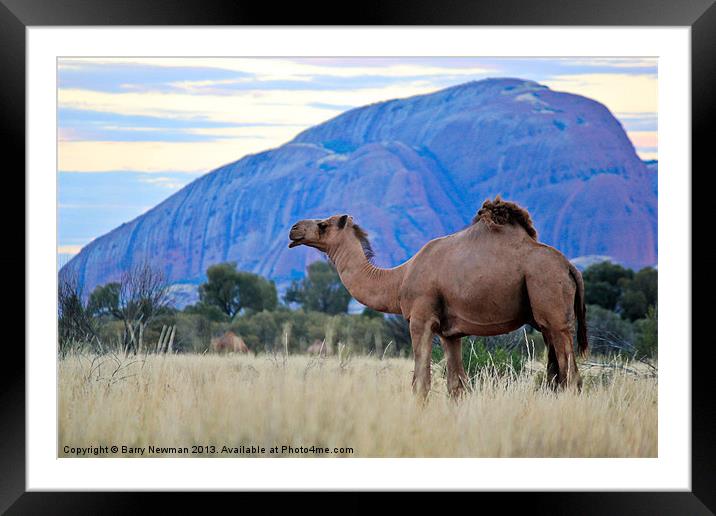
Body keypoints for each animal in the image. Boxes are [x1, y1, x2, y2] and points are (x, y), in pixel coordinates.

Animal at [288, 197, 592, 400]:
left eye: (323, 224)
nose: (294, 229)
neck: (398, 279)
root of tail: (570, 267)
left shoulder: (421, 320)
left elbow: (420, 382)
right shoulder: (451, 333)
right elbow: (456, 386)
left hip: (552, 306)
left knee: (571, 376)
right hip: (545, 321)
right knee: (556, 375)